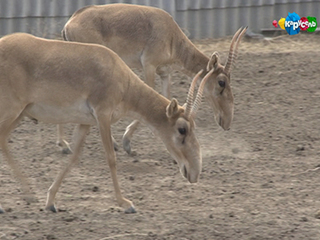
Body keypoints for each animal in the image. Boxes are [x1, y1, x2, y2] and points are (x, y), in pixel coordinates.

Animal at [0, 32, 218, 214]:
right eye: (182, 129)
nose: (194, 172)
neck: (122, 79)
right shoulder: (103, 116)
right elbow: (111, 158)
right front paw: (126, 203)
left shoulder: (86, 123)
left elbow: (73, 158)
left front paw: (51, 201)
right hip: (12, 109)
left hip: (20, 113)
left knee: (3, 140)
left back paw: (28, 195)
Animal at [61, 3, 249, 154]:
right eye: (221, 82)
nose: (227, 122)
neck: (172, 36)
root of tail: (69, 24)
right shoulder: (148, 66)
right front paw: (127, 143)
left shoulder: (165, 73)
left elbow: (166, 99)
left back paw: (65, 145)